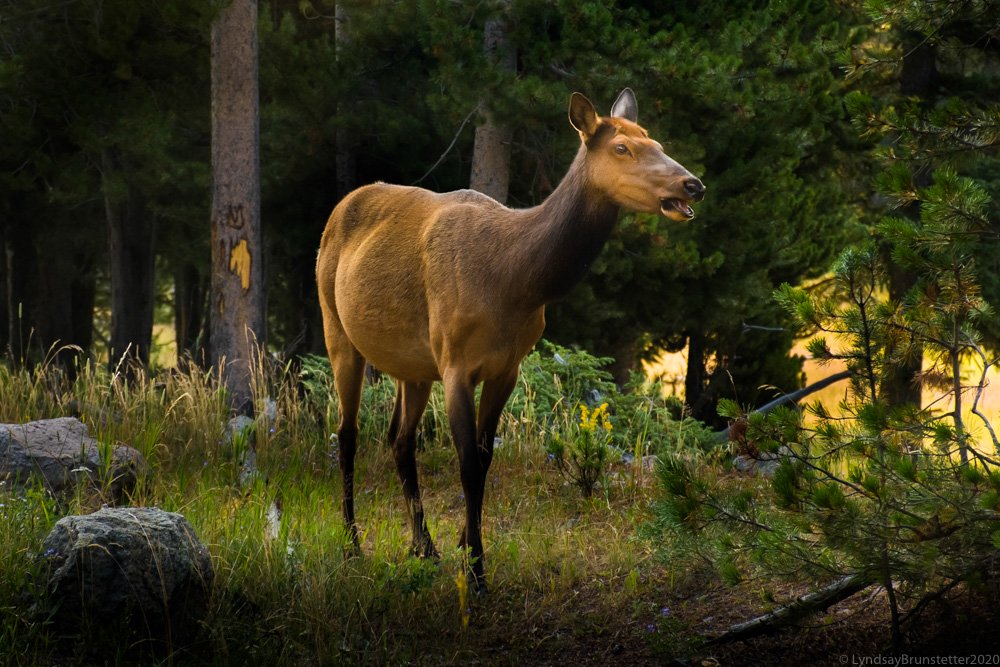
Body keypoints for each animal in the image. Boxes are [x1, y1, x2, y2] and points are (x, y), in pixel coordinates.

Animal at [316, 88, 704, 591]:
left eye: (655, 141)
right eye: (623, 148)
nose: (692, 184)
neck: (513, 281)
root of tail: (341, 206)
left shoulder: (507, 367)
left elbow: (484, 460)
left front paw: (465, 546)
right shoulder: (455, 362)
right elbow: (466, 462)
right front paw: (476, 572)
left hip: (412, 365)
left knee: (399, 438)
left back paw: (424, 547)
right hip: (337, 328)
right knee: (347, 434)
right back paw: (352, 546)